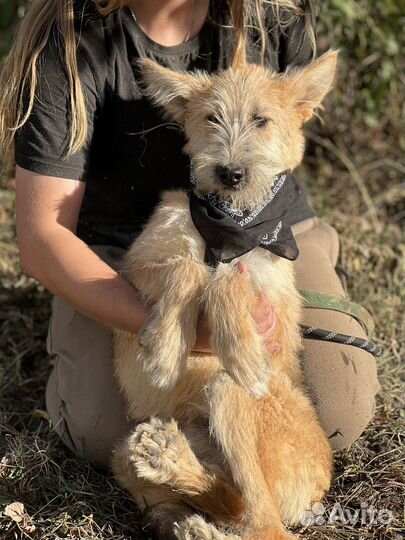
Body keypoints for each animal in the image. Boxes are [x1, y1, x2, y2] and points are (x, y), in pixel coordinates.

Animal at [112, 51, 336, 540]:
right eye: (211, 118)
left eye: (261, 120)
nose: (230, 173)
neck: (229, 223)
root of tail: (320, 482)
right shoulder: (136, 265)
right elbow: (189, 269)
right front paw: (165, 350)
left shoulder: (271, 297)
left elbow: (225, 280)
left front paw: (241, 352)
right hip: (122, 456)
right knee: (231, 502)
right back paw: (172, 466)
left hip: (229, 394)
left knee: (264, 522)